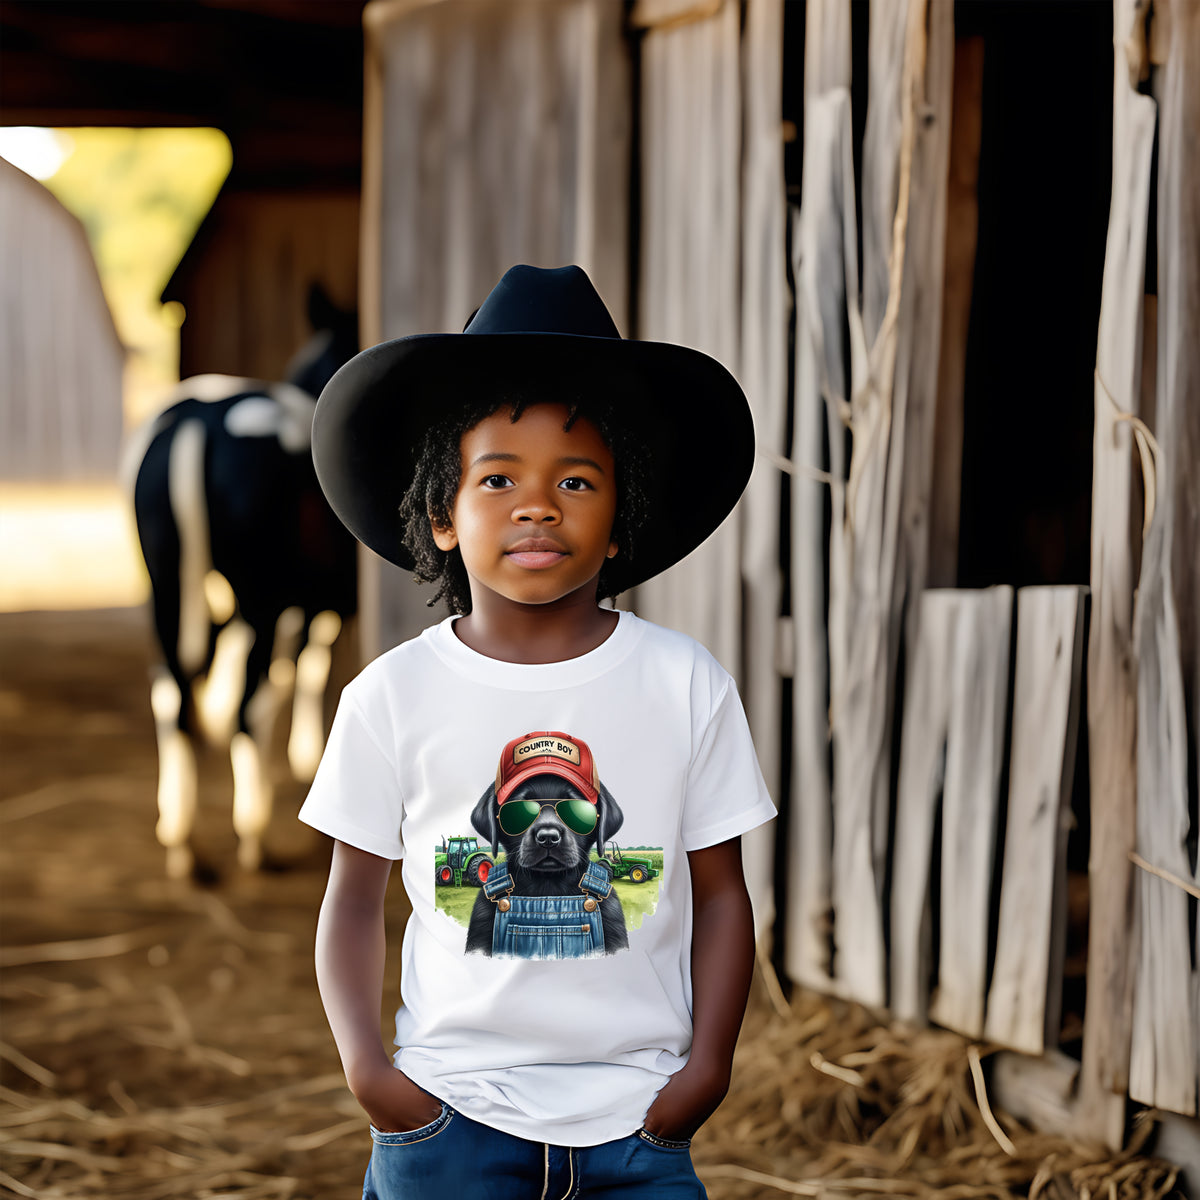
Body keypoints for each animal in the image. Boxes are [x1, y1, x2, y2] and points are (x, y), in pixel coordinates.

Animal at [130, 285, 357, 878]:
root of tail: (199, 416)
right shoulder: (309, 604)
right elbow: (304, 667)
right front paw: (306, 757)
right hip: (260, 596)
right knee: (247, 707)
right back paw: (253, 837)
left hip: (166, 585)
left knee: (172, 691)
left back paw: (181, 837)